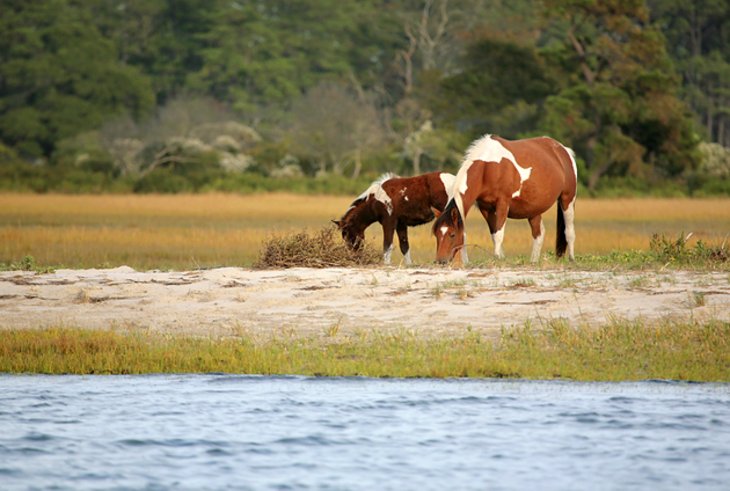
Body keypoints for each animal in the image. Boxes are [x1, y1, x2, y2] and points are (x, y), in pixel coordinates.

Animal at [430, 135, 576, 266]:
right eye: (436, 234)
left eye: (452, 234)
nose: (440, 261)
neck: (487, 168)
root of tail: (563, 150)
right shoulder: (486, 208)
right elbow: (494, 234)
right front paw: (500, 258)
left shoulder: (503, 204)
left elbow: (499, 234)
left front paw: (496, 258)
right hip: (533, 210)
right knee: (538, 234)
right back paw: (533, 261)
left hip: (567, 199)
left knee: (569, 231)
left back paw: (571, 259)